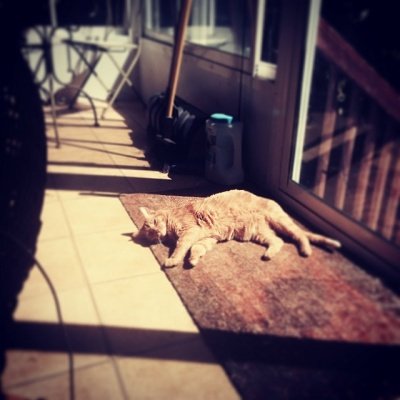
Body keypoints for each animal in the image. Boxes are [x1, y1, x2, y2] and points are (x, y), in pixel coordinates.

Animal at [133, 189, 341, 267]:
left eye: (154, 224)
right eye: (149, 234)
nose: (156, 234)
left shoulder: (189, 232)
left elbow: (181, 247)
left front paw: (174, 260)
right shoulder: (207, 239)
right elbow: (197, 248)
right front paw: (193, 260)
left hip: (280, 221)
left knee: (299, 235)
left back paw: (306, 250)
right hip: (259, 233)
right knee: (278, 240)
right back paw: (268, 255)